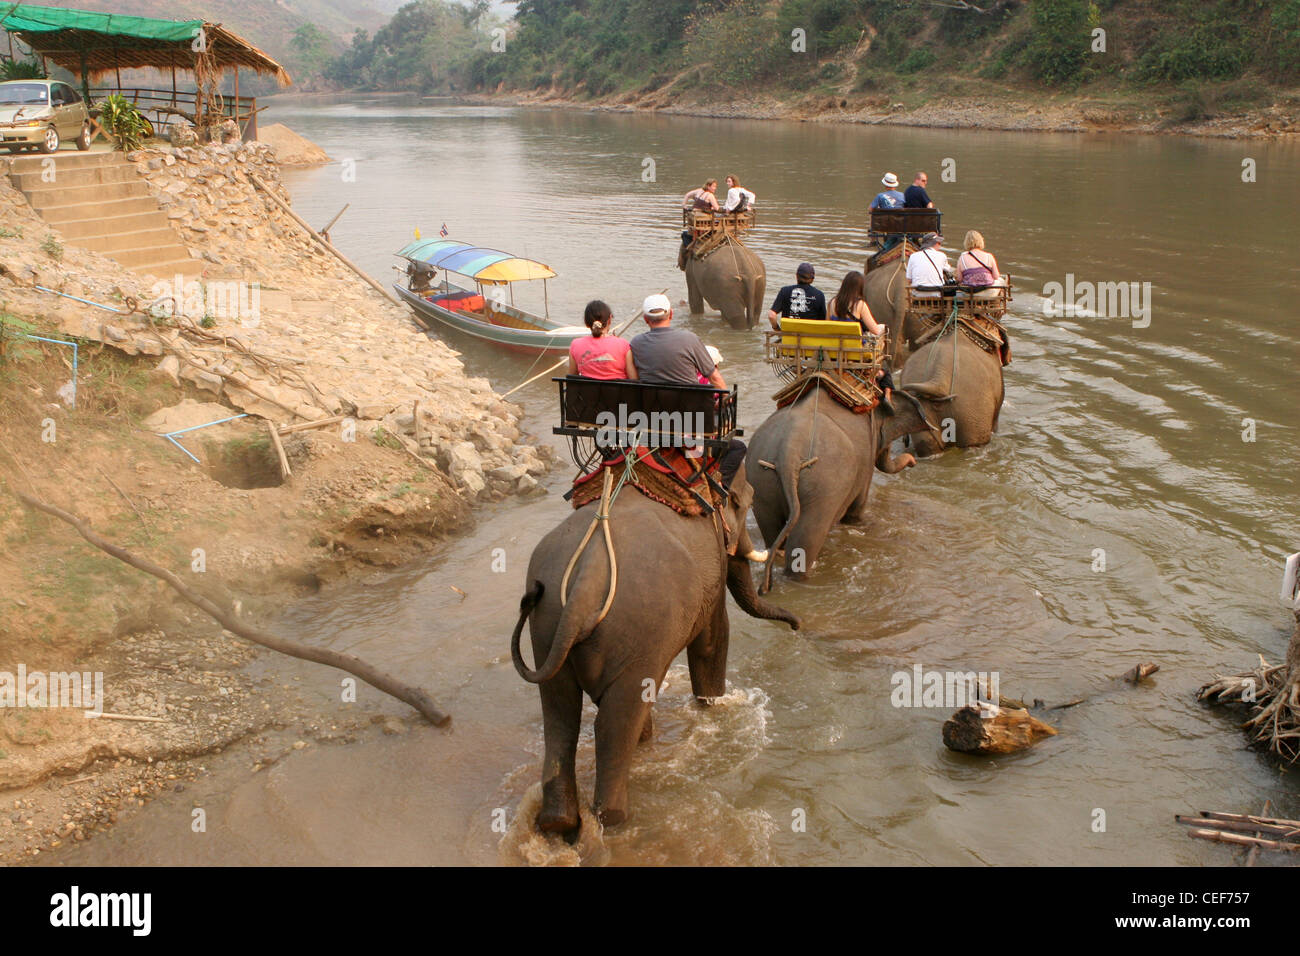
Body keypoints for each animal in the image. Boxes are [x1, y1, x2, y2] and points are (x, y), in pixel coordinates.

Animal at [509, 463, 795, 837]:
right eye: (747, 500)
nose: (797, 626)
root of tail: (585, 581)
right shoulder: (714, 566)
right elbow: (712, 640)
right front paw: (713, 707)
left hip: (546, 628)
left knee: (560, 715)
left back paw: (558, 822)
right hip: (638, 632)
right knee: (613, 725)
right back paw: (614, 819)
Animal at [754, 382, 946, 590]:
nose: (912, 462)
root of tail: (787, 452)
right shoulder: (866, 461)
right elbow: (857, 506)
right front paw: (860, 524)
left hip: (761, 482)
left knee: (772, 530)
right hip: (824, 486)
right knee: (807, 537)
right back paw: (802, 578)